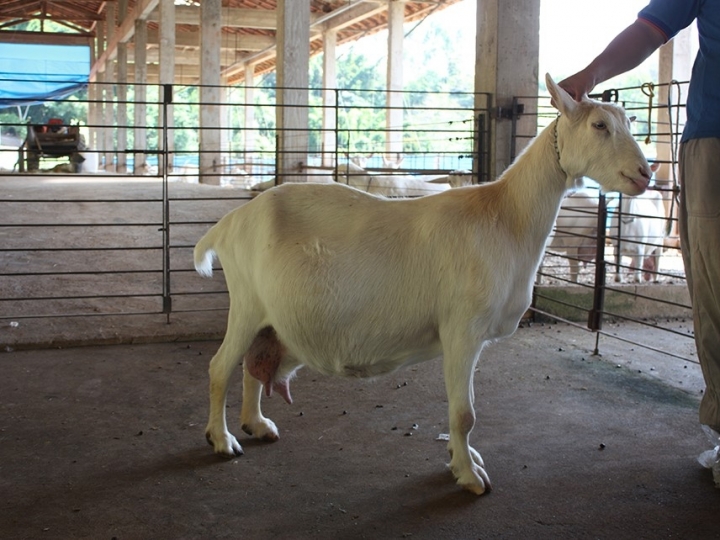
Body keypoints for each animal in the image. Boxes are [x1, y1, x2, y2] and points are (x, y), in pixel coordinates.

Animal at [193, 74, 651, 496]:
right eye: (599, 125)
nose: (645, 173)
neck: (505, 217)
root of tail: (229, 223)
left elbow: (461, 412)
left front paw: (462, 459)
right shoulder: (462, 328)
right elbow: (465, 414)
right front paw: (469, 477)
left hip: (270, 318)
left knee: (253, 364)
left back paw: (257, 424)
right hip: (246, 303)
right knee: (220, 366)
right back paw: (222, 439)